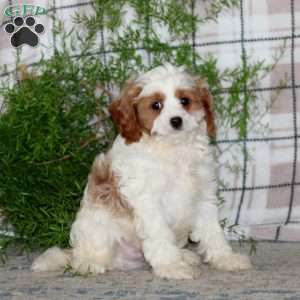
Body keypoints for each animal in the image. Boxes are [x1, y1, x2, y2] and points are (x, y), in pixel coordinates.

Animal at [31, 62, 252, 278]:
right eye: (156, 105)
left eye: (185, 101)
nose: (176, 120)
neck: (173, 148)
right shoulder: (148, 201)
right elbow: (160, 233)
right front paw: (171, 267)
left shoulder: (203, 195)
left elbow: (212, 231)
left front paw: (225, 258)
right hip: (97, 227)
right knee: (87, 254)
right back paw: (88, 263)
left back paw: (184, 255)